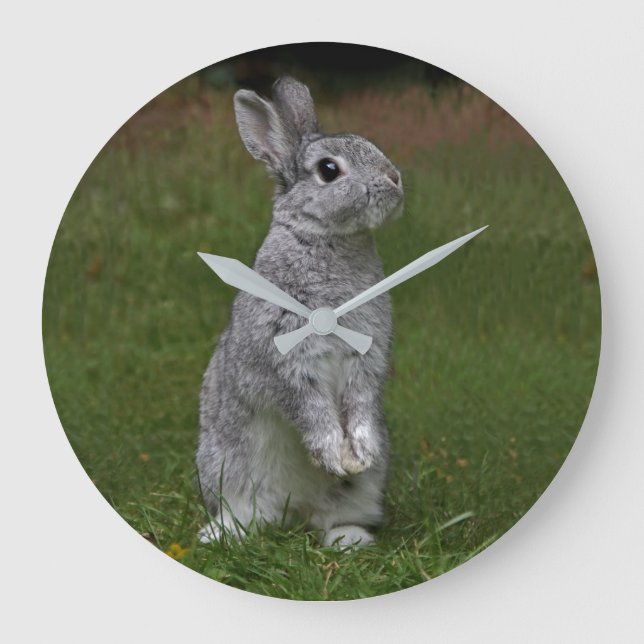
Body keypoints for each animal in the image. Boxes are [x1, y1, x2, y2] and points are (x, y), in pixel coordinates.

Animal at [196, 76, 403, 548]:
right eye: (329, 170)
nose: (394, 179)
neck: (328, 239)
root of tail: (295, 511)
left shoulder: (367, 357)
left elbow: (361, 401)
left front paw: (358, 453)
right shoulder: (286, 362)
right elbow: (309, 407)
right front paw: (331, 453)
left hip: (362, 491)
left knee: (337, 516)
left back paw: (348, 539)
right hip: (227, 466)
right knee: (246, 512)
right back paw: (221, 535)